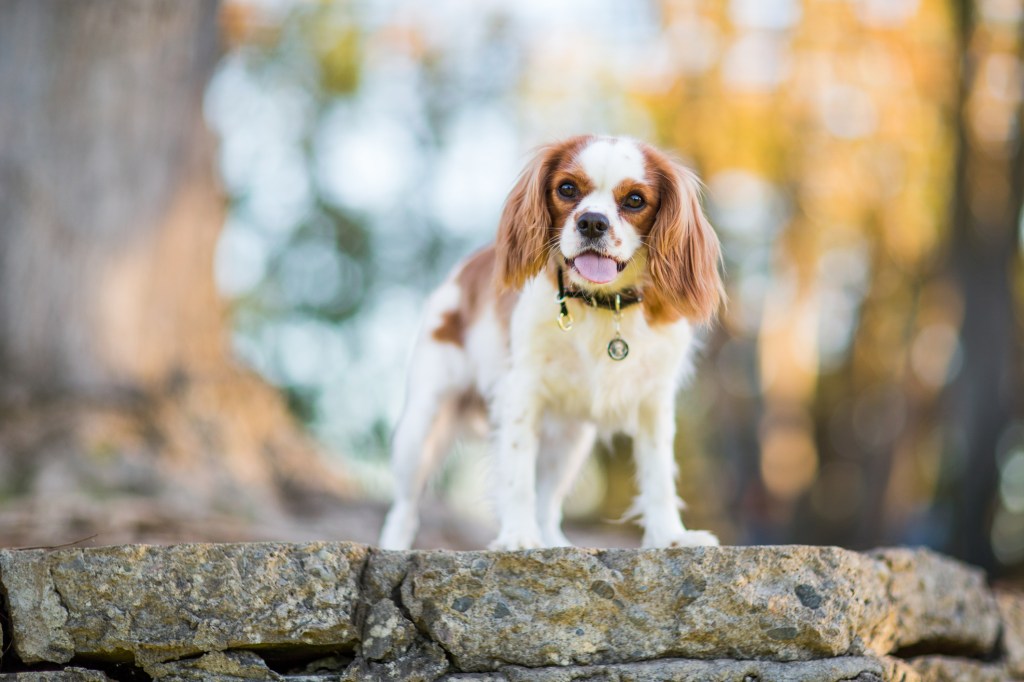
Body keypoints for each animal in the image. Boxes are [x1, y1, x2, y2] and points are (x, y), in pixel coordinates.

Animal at [380, 135, 724, 548]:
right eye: (567, 189)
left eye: (635, 200)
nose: (592, 222)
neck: (601, 302)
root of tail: (462, 271)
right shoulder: (520, 392)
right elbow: (517, 476)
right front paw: (517, 537)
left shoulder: (654, 401)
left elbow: (658, 477)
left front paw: (671, 537)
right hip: (423, 423)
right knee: (404, 505)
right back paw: (394, 546)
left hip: (570, 442)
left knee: (548, 502)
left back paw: (553, 543)